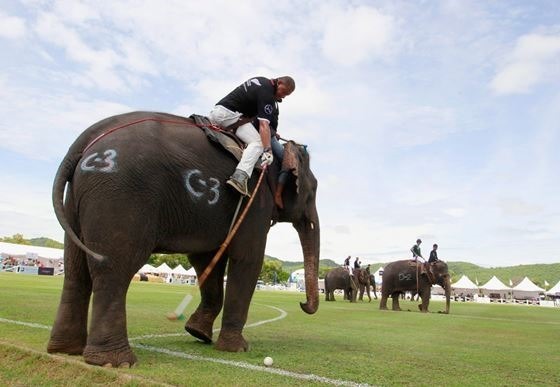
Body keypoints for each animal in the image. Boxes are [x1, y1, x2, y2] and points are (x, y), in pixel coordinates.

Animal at [47, 111, 320, 366]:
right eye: (313, 190)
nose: (302, 304)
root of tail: (86, 139)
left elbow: (206, 260)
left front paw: (198, 333)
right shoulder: (254, 203)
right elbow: (248, 259)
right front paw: (236, 349)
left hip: (78, 198)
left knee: (75, 269)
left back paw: (65, 350)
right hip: (120, 195)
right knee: (113, 268)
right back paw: (114, 361)